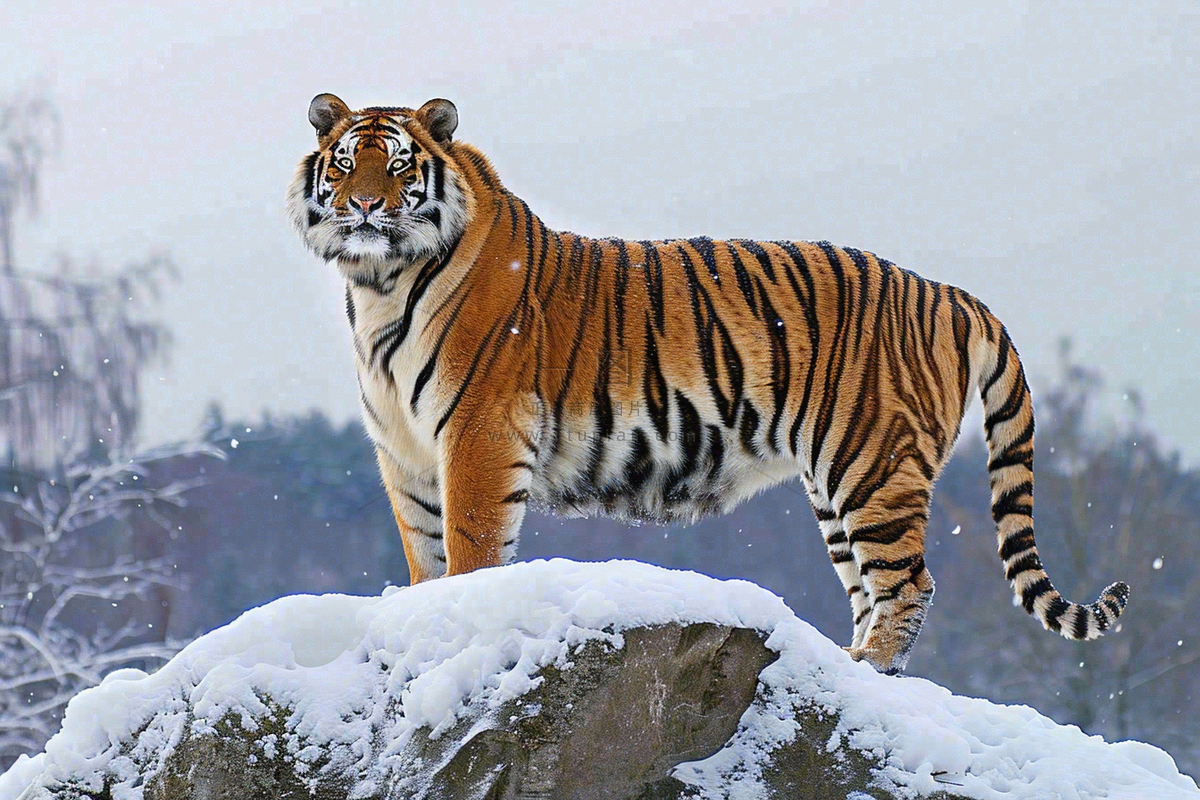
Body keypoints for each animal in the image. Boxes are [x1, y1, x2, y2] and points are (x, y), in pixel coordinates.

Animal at [285, 94, 1128, 676]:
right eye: (344, 163)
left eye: (398, 166)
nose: (365, 206)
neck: (379, 286)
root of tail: (950, 292)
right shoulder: (405, 452)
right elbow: (425, 559)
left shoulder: (478, 435)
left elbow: (470, 552)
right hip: (839, 487)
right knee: (869, 588)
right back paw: (853, 668)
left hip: (874, 466)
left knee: (909, 585)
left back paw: (866, 669)